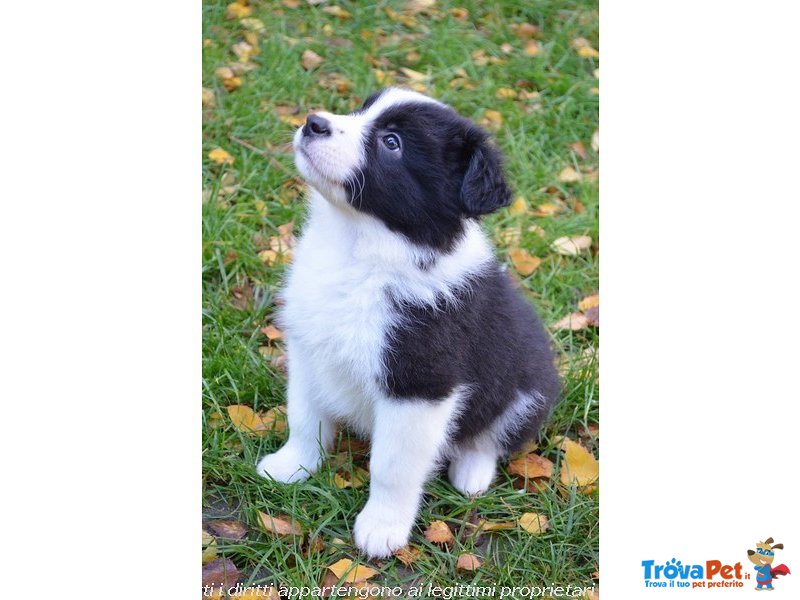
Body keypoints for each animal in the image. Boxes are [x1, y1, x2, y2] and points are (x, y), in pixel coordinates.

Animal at [260, 88, 560, 556]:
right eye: (361, 109)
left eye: (392, 143)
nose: (314, 123)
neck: (357, 248)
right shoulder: (308, 348)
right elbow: (304, 417)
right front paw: (292, 466)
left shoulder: (421, 384)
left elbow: (392, 466)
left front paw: (382, 528)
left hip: (528, 388)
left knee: (492, 435)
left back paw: (472, 472)